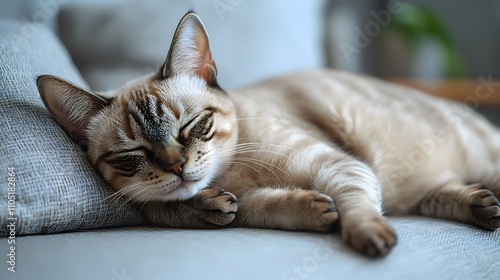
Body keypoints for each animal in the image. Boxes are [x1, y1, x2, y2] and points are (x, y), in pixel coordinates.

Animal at [36, 13, 500, 258]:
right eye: (133, 154)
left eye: (192, 127)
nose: (177, 165)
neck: (231, 177)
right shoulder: (243, 199)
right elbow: (253, 209)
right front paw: (310, 210)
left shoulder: (340, 165)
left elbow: (357, 207)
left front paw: (365, 234)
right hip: (420, 189)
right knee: (444, 193)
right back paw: (482, 206)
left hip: (475, 156)